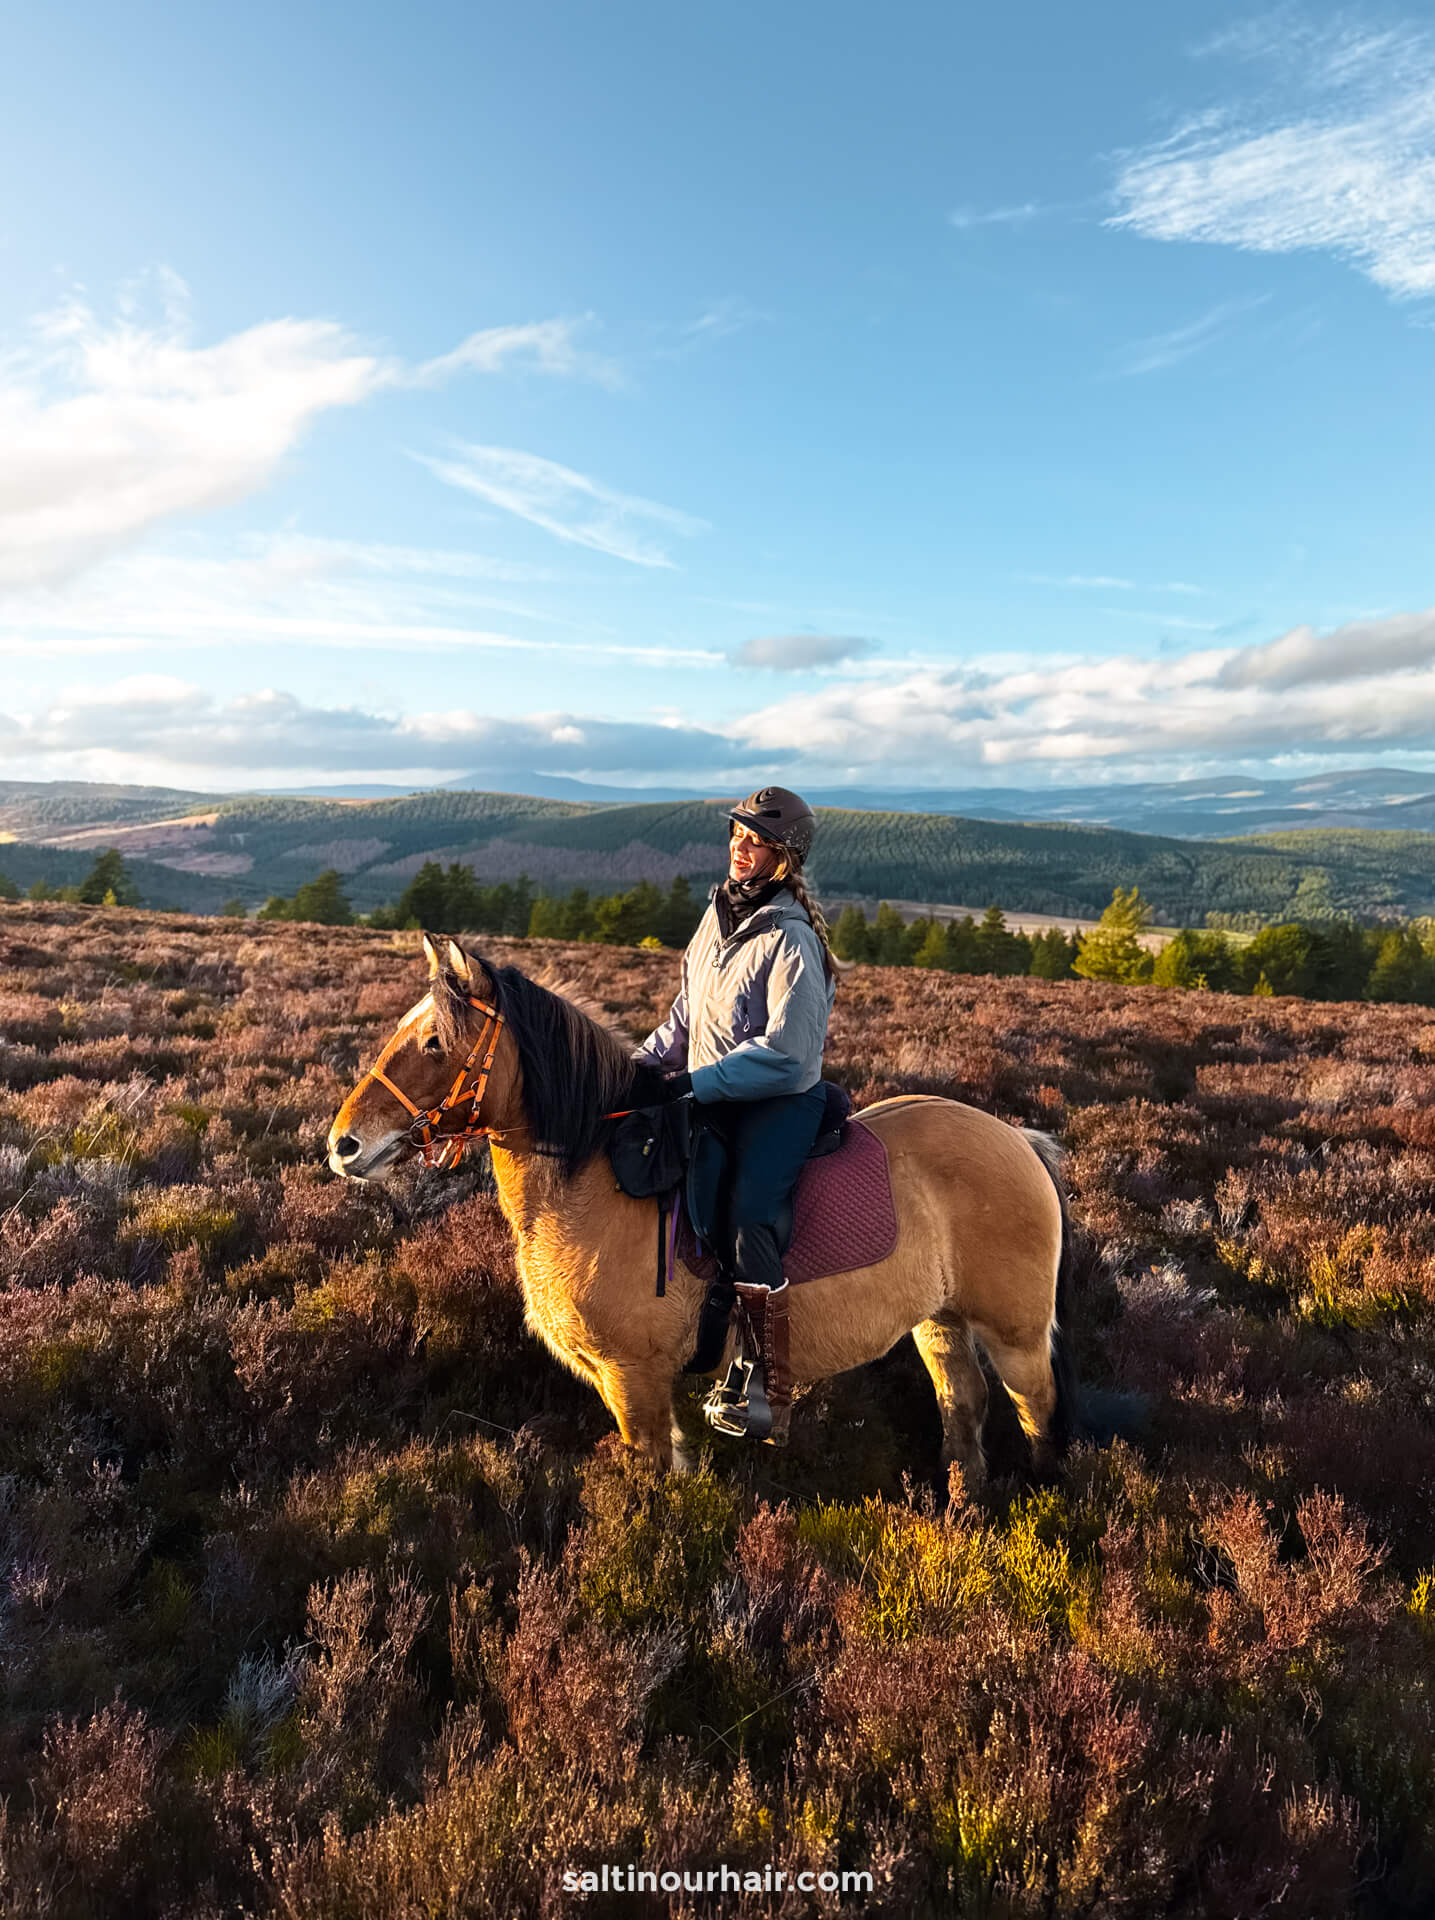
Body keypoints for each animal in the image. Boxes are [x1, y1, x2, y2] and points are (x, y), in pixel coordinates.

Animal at [324, 933, 1083, 1482]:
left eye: (434, 1042)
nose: (342, 1144)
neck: (592, 1183)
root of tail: (1016, 1137)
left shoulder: (634, 1378)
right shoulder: (624, 1382)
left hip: (1013, 1333)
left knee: (1036, 1410)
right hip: (939, 1322)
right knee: (964, 1404)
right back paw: (964, 1505)